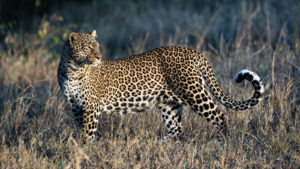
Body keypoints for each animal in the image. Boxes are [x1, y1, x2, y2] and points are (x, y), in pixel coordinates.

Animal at [57, 30, 264, 143]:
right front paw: (81, 148)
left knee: (219, 116)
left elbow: (88, 133)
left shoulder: (91, 107)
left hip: (195, 93)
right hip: (168, 102)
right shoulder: (76, 107)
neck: (73, 69)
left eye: (97, 46)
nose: (99, 57)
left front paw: (85, 151)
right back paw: (157, 143)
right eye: (88, 47)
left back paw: (221, 142)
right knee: (176, 129)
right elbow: (82, 131)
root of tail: (194, 52)